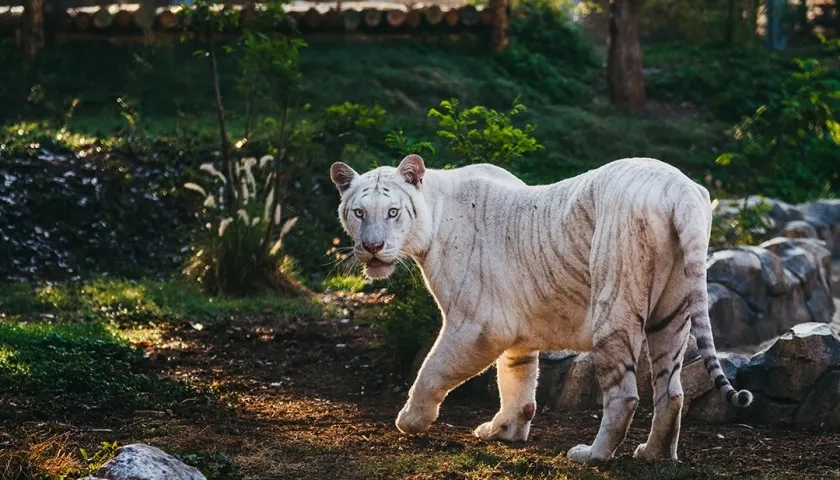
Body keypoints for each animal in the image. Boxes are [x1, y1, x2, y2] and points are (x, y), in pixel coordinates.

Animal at [329, 154, 752, 463]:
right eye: (359, 212)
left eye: (393, 212)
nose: (371, 247)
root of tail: (679, 187)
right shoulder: (515, 328)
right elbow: (517, 380)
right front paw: (505, 430)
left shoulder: (478, 325)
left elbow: (432, 370)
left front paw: (411, 421)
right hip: (672, 311)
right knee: (671, 391)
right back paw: (654, 455)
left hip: (613, 306)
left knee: (625, 395)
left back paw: (593, 455)